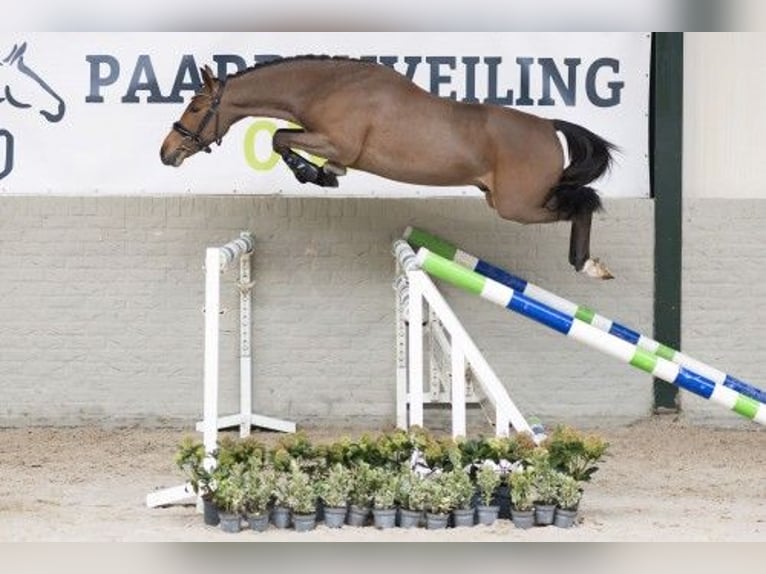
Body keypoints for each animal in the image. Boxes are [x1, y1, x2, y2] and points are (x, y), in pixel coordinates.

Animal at [160, 56, 616, 280]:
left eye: (196, 107)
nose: (167, 153)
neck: (327, 87)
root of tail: (549, 126)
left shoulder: (337, 141)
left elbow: (279, 139)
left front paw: (317, 174)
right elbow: (283, 136)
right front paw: (325, 173)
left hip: (517, 205)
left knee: (584, 202)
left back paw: (588, 265)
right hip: (506, 201)